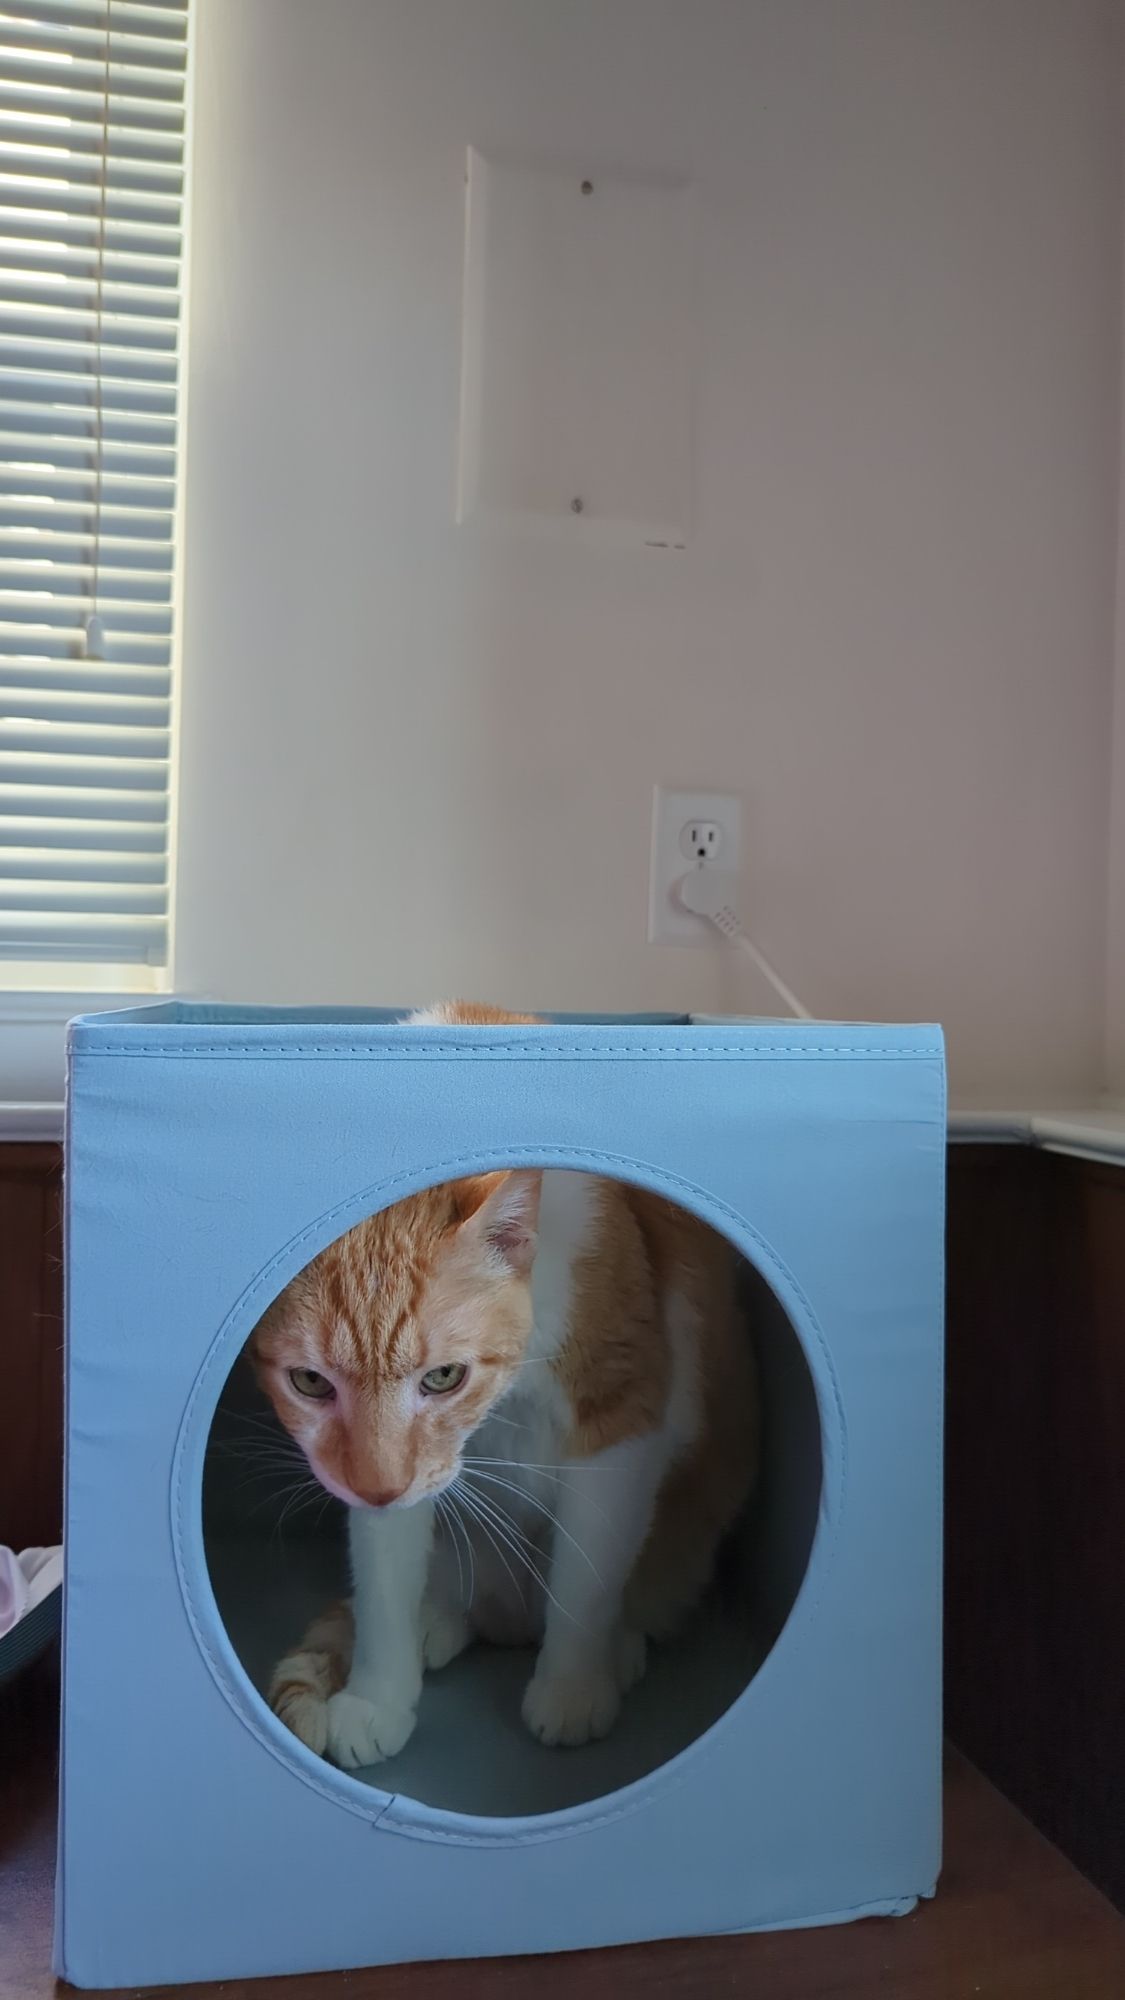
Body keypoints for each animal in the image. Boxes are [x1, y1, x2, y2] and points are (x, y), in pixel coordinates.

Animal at [249, 1000, 756, 1768]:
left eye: (444, 1377)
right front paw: (377, 1696)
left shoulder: (621, 1404)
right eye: (310, 1382)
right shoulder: (385, 1474)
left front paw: (574, 1685)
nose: (379, 1488)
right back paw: (439, 1622)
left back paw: (617, 1649)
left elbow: (588, 1574)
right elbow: (383, 1578)